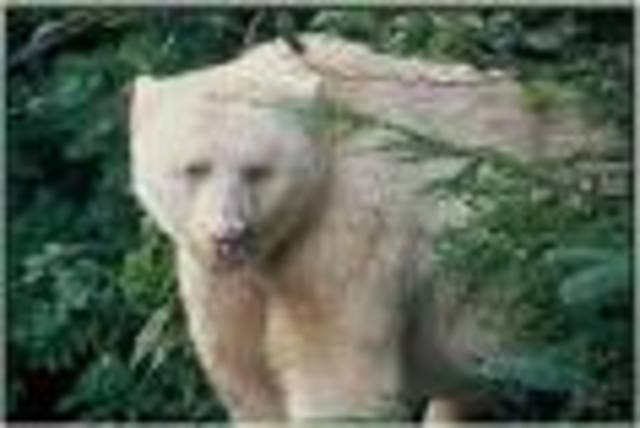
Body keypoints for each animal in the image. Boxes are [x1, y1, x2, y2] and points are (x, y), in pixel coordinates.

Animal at [129, 34, 608, 422]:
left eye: (258, 170)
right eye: (195, 168)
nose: (229, 234)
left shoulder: (350, 227)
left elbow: (336, 369)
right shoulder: (222, 282)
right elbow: (248, 376)